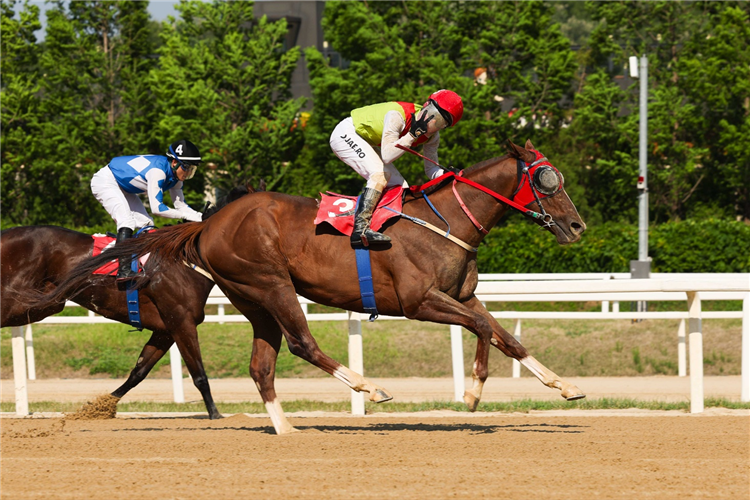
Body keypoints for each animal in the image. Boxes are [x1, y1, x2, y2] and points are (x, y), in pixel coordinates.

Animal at [0, 183, 261, 419]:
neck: (184, 258)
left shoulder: (165, 330)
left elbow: (139, 372)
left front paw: (99, 408)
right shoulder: (182, 323)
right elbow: (199, 375)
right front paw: (216, 415)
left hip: (44, 303)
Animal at [31, 140, 586, 434]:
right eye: (548, 180)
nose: (577, 227)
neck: (442, 221)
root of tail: (209, 225)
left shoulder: (462, 295)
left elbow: (503, 335)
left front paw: (565, 385)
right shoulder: (419, 301)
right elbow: (482, 330)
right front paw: (471, 393)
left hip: (252, 299)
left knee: (262, 364)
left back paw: (285, 426)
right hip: (271, 282)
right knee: (302, 343)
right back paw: (369, 387)